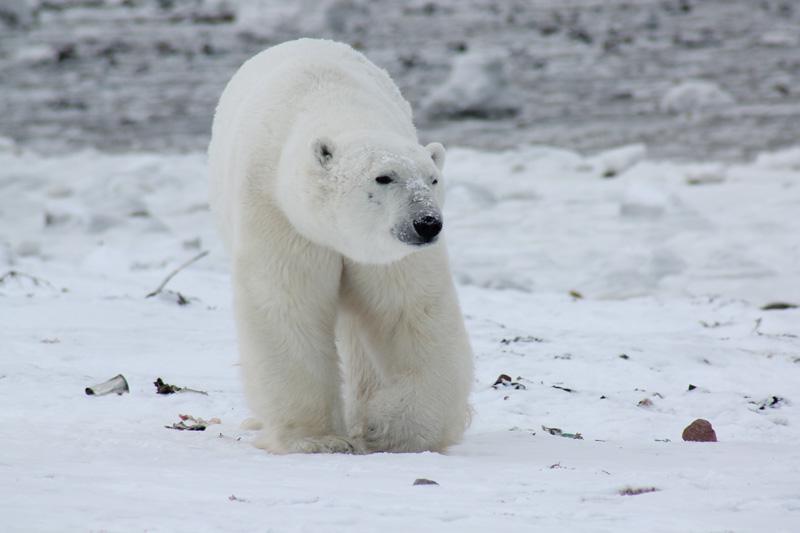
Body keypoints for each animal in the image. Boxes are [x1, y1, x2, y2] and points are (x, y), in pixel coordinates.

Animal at [208, 38, 473, 454]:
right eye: (384, 177)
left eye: (432, 179)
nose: (427, 223)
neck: (332, 101)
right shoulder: (279, 215)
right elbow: (288, 306)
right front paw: (317, 439)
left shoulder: (386, 254)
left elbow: (408, 310)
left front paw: (397, 430)